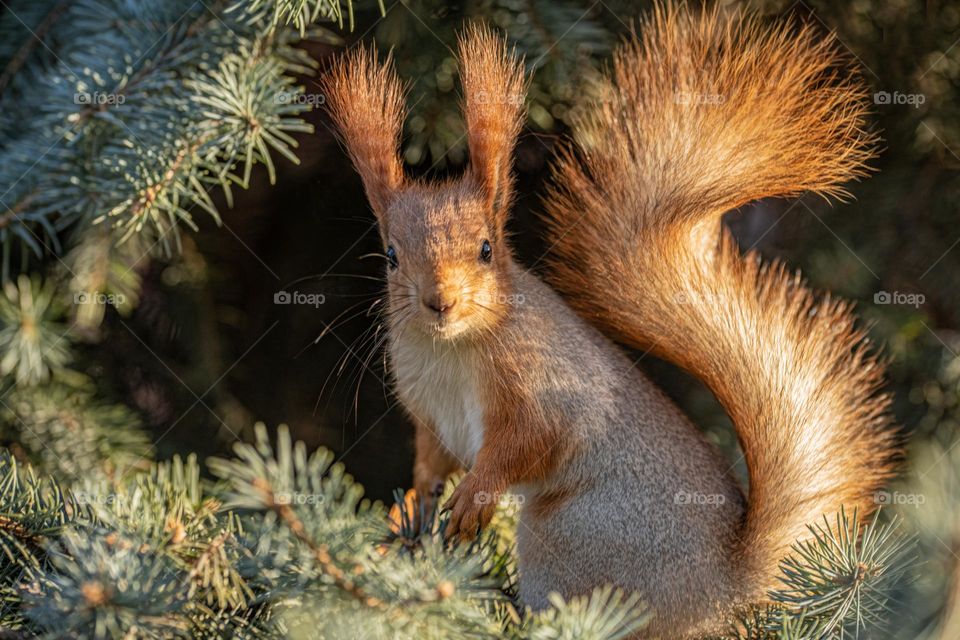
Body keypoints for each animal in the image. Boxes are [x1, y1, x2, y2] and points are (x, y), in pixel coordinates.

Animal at [322, 3, 900, 637]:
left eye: (486, 249)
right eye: (391, 255)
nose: (440, 302)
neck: (452, 349)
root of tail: (722, 595)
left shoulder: (548, 384)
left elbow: (532, 440)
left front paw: (475, 496)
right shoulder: (428, 414)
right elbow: (430, 463)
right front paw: (408, 508)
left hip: (567, 537)